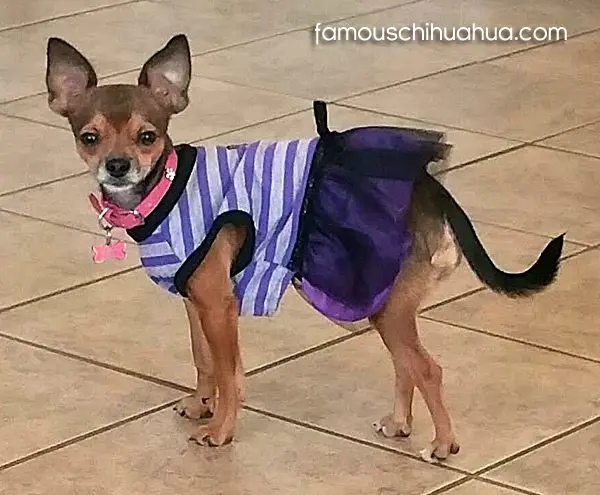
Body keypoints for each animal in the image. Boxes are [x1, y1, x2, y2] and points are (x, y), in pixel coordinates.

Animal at [45, 34, 563, 462]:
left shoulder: (218, 305)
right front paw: (199, 404)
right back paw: (400, 424)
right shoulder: (196, 301)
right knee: (406, 364)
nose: (117, 165)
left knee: (428, 368)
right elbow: (203, 360)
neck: (165, 189)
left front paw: (221, 430)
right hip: (386, 304)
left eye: (147, 137)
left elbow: (231, 374)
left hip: (388, 305)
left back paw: (442, 443)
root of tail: (430, 188)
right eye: (89, 138)